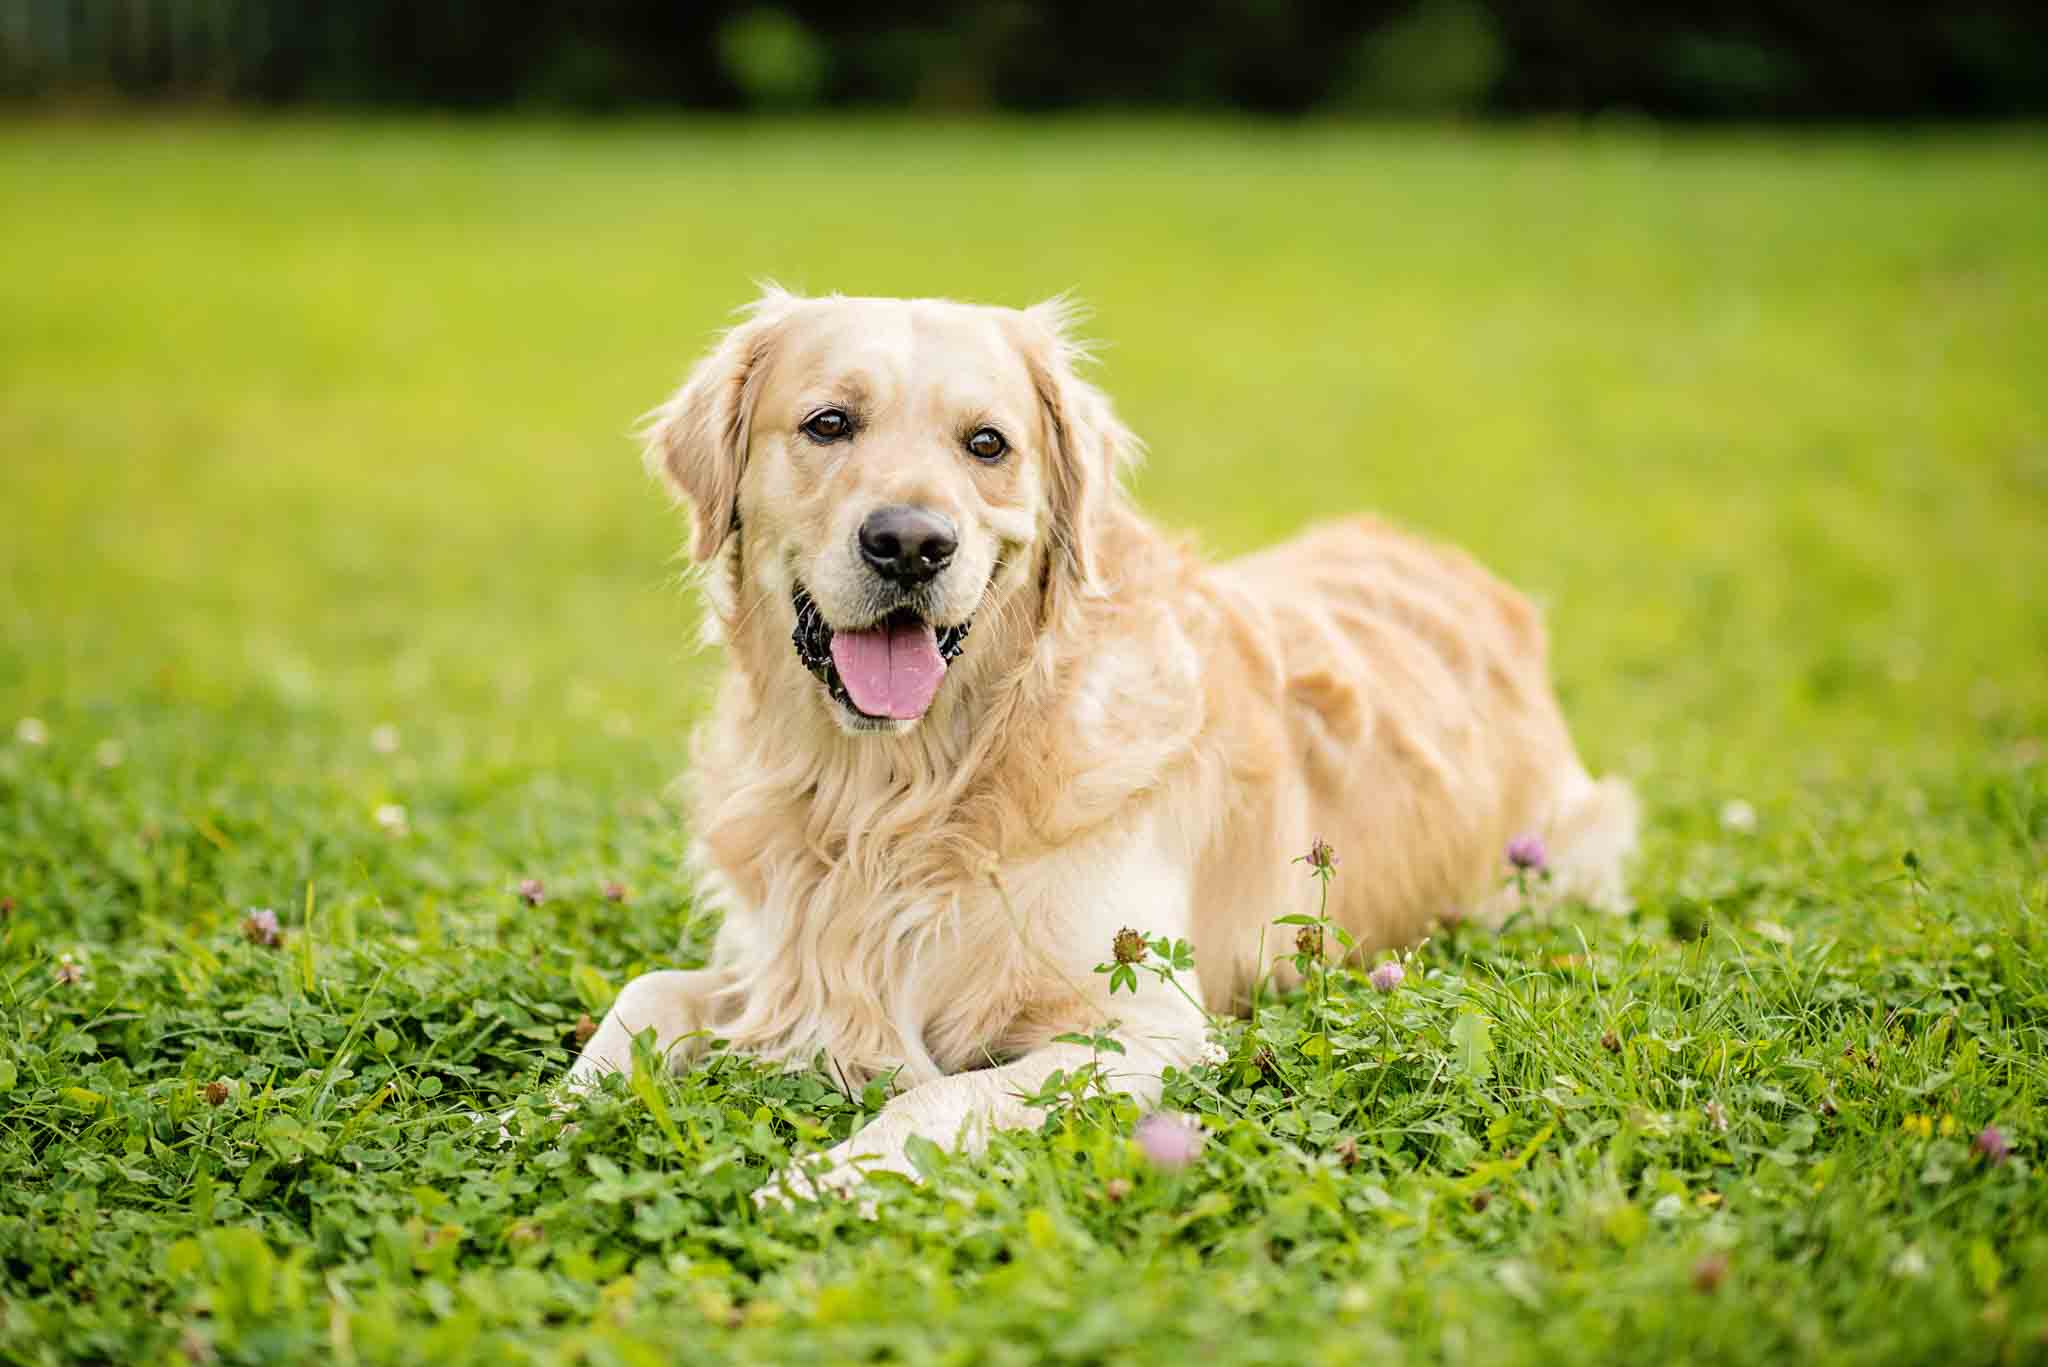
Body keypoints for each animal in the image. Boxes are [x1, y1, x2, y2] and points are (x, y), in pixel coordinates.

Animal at [565, 288, 1630, 1196]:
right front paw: (556, 1110)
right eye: (828, 423)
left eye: (987, 443)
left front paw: (822, 1180)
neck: (900, 789)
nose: (911, 544)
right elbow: (644, 992)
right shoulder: (777, 962)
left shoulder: (1152, 1028)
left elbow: (937, 1094)